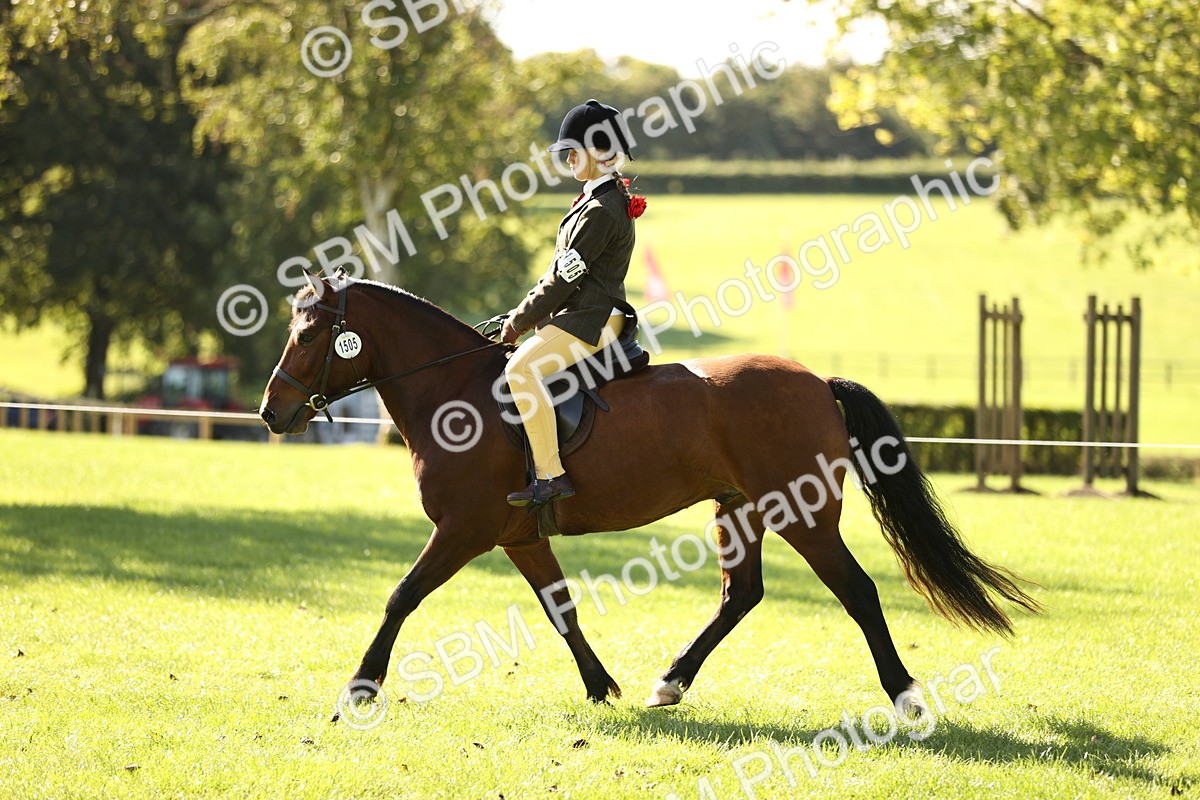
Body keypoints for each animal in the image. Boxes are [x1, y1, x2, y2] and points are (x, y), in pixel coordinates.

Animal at [258, 276, 1040, 712]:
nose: (271, 412)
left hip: (805, 515)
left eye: (309, 335)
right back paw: (671, 683)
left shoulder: (464, 529)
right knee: (741, 595)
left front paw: (361, 685)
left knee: (858, 592)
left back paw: (904, 696)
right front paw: (600, 686)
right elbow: (561, 609)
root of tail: (818, 381)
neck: (455, 391)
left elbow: (400, 596)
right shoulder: (518, 535)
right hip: (740, 510)